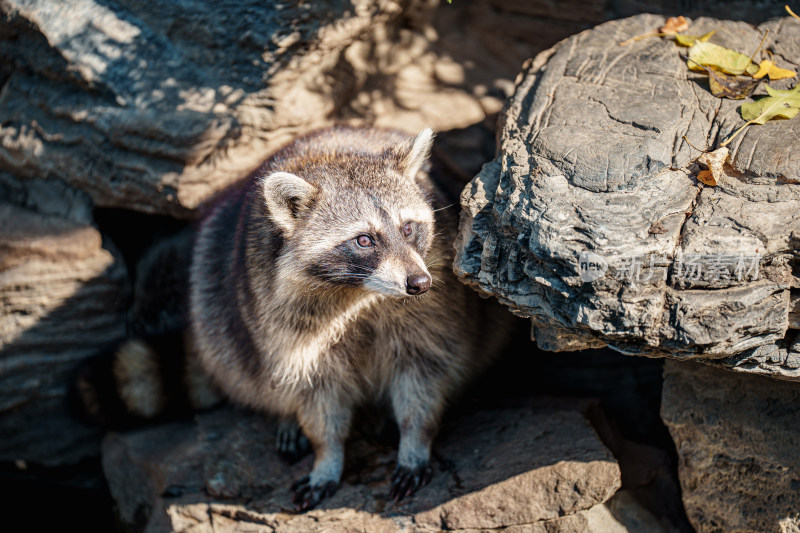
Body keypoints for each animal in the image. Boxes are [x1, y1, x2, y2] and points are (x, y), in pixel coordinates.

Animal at [191, 123, 510, 508]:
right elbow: (315, 393)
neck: (362, 294)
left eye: (407, 228)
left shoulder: (434, 309)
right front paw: (327, 456)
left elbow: (423, 376)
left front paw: (415, 441)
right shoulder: (284, 322)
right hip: (213, 287)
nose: (419, 283)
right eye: (364, 240)